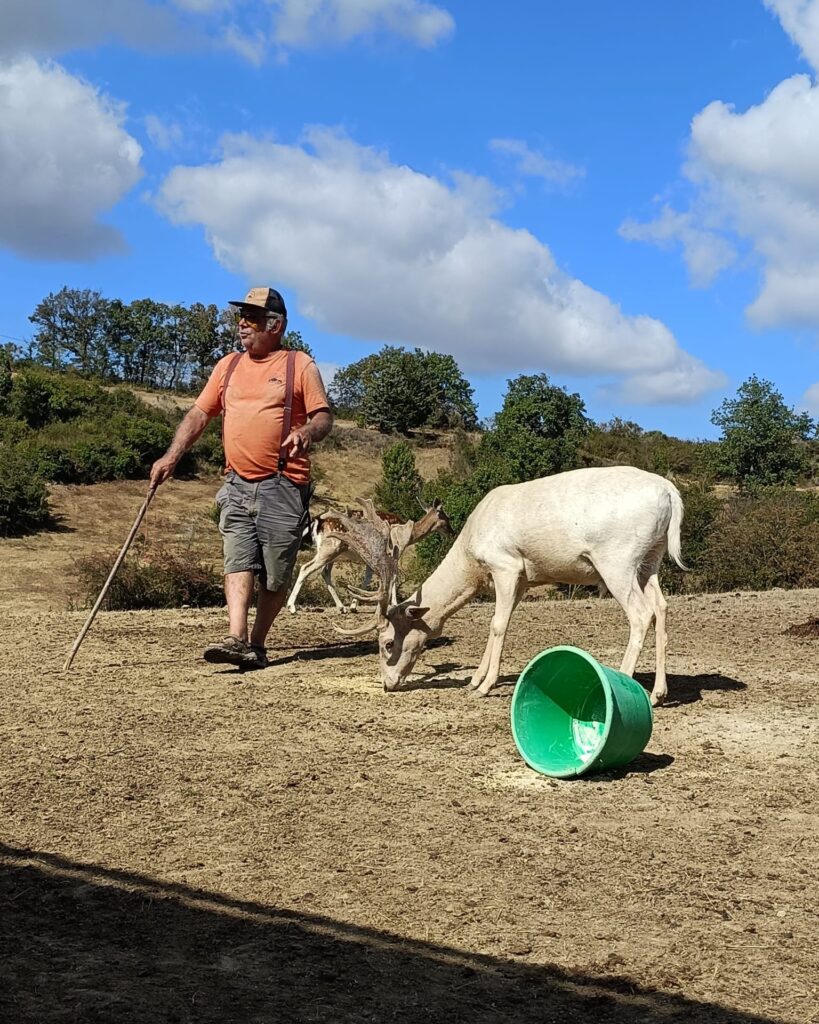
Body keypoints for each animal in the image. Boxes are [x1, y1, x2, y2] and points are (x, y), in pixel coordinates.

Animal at [284, 497, 450, 610]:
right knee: (306, 567)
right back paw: (291, 606)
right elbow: (393, 576)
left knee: (324, 573)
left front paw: (354, 604)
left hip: (332, 552)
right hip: (329, 548)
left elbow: (368, 578)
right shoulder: (394, 552)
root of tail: (317, 521)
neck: (409, 535)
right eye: (445, 516)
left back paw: (342, 607)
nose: (452, 530)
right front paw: (394, 603)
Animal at [331, 468, 683, 708]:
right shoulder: (524, 578)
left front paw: (485, 686)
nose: (387, 684)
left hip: (616, 559)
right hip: (650, 559)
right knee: (661, 606)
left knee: (641, 613)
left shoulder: (506, 565)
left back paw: (622, 688)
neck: (472, 557)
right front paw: (474, 680)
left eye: (388, 643)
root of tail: (670, 492)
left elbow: (498, 624)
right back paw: (658, 693)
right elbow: (498, 622)